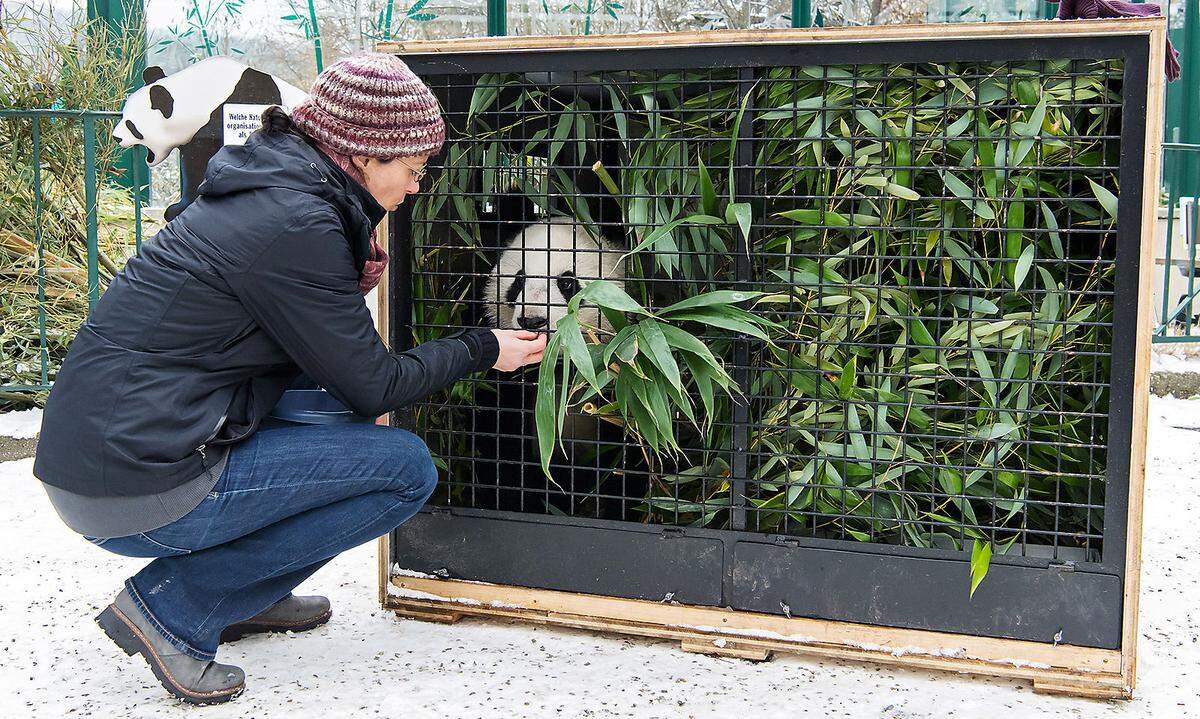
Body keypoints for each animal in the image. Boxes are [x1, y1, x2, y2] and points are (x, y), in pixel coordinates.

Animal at [112, 57, 307, 220]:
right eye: (123, 116)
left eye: (131, 126)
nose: (116, 137)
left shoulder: (229, 113)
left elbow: (202, 164)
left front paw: (178, 210)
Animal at [468, 216, 648, 520]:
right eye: (519, 280)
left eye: (566, 282)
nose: (533, 321)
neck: (561, 367)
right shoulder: (507, 378)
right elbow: (500, 441)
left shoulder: (622, 367)